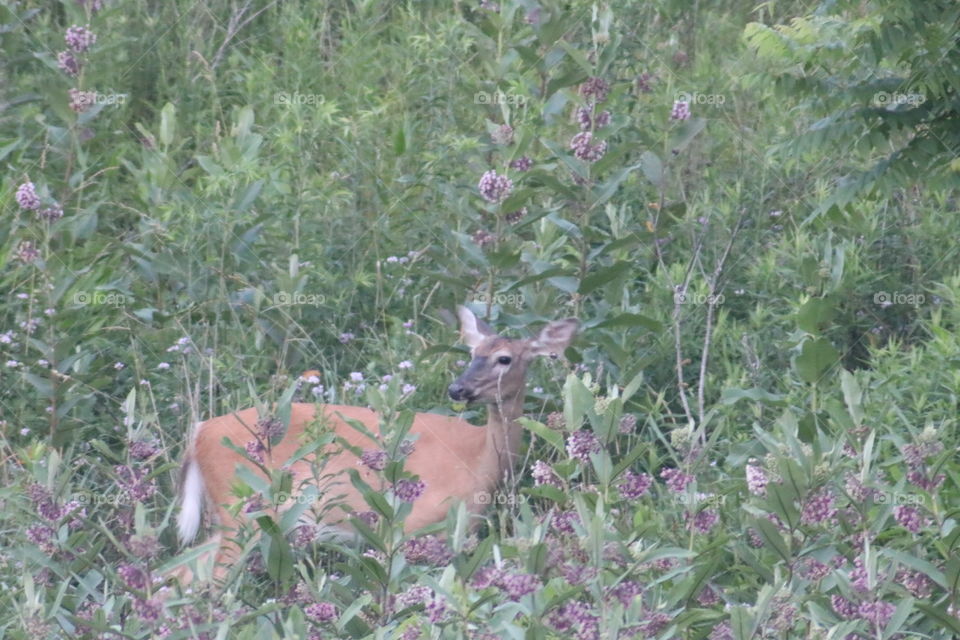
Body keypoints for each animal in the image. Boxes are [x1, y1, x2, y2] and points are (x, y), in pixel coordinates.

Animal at [173, 306, 578, 585]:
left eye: (503, 358)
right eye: (472, 354)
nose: (457, 388)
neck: (480, 458)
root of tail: (199, 434)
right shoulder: (414, 524)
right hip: (242, 510)